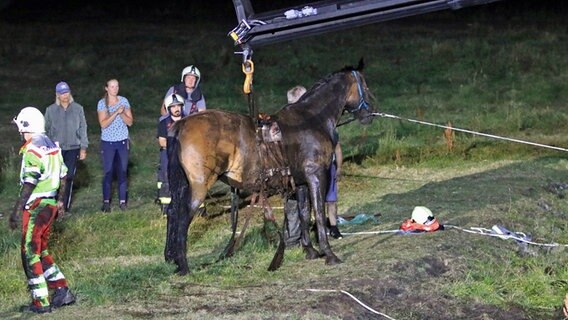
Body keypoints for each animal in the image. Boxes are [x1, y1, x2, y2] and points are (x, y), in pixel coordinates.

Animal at [166, 60, 374, 276]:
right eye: (365, 86)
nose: (370, 113)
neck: (312, 119)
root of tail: (182, 124)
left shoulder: (300, 181)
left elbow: (303, 212)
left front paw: (310, 250)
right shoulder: (316, 176)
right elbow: (317, 211)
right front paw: (329, 254)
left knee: (173, 213)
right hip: (199, 187)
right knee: (182, 219)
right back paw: (184, 266)